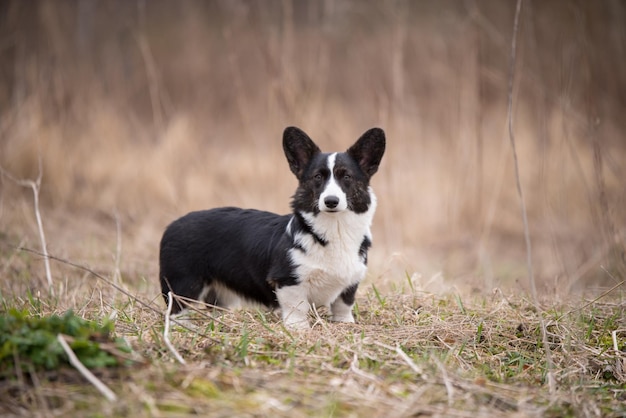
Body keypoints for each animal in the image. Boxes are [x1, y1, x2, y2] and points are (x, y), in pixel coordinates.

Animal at [158, 125, 382, 328]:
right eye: (318, 177)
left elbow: (343, 305)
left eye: (347, 177)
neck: (335, 229)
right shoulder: (287, 281)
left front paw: (346, 323)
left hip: (221, 294)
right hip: (183, 285)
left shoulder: (351, 283)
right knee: (177, 310)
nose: (331, 201)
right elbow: (297, 307)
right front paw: (299, 329)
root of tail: (172, 225)